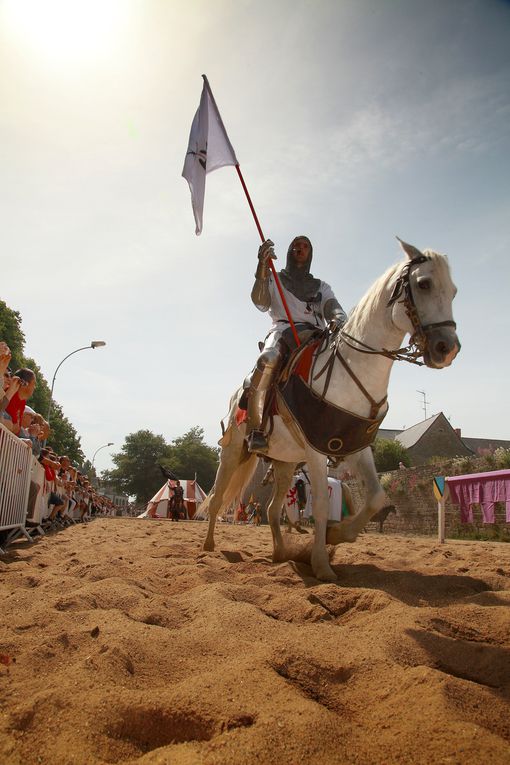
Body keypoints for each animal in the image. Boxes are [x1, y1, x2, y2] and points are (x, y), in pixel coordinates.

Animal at [204, 239, 462, 580]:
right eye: (424, 283)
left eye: (453, 291)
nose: (447, 348)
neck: (350, 368)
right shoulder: (316, 451)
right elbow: (323, 508)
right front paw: (322, 565)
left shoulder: (355, 446)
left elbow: (376, 497)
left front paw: (336, 535)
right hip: (233, 452)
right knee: (218, 498)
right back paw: (208, 547)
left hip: (285, 462)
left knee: (271, 510)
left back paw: (281, 553)